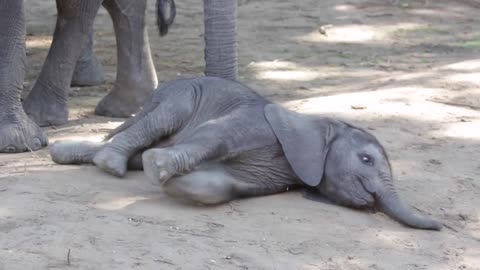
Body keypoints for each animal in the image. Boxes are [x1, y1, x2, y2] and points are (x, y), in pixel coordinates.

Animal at [49, 76, 442, 230]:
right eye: (366, 159)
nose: (443, 225)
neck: (317, 123)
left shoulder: (274, 175)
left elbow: (221, 185)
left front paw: (172, 183)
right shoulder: (255, 123)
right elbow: (213, 135)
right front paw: (157, 167)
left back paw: (64, 155)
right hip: (182, 95)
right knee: (157, 123)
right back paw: (112, 165)